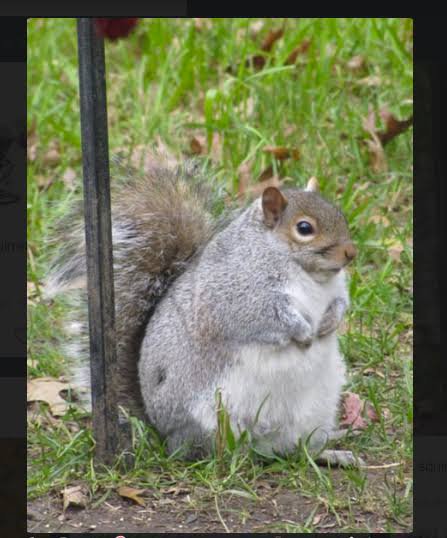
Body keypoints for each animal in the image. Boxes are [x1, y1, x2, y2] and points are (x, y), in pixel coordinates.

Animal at [45, 155, 357, 463]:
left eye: (340, 213)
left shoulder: (336, 290)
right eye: (305, 228)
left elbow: (340, 303)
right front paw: (303, 332)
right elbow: (267, 318)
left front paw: (330, 322)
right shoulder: (238, 294)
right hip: (211, 418)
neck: (309, 274)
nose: (351, 253)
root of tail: (163, 432)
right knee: (212, 451)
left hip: (316, 410)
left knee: (297, 449)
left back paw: (331, 454)